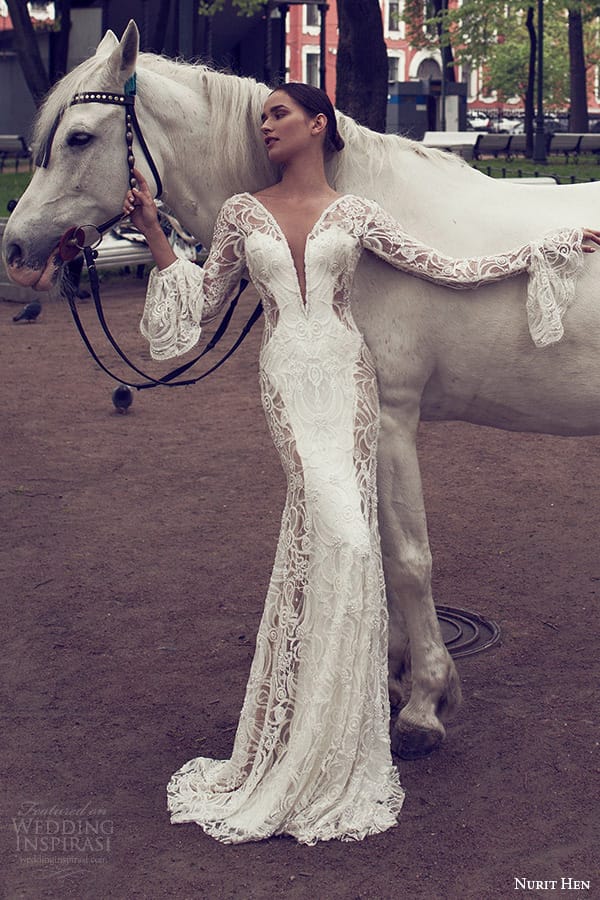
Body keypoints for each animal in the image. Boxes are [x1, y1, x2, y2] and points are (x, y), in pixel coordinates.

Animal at [4, 21, 600, 756]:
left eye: (80, 138)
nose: (16, 249)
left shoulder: (392, 419)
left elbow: (407, 558)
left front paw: (425, 702)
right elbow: (377, 544)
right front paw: (391, 675)